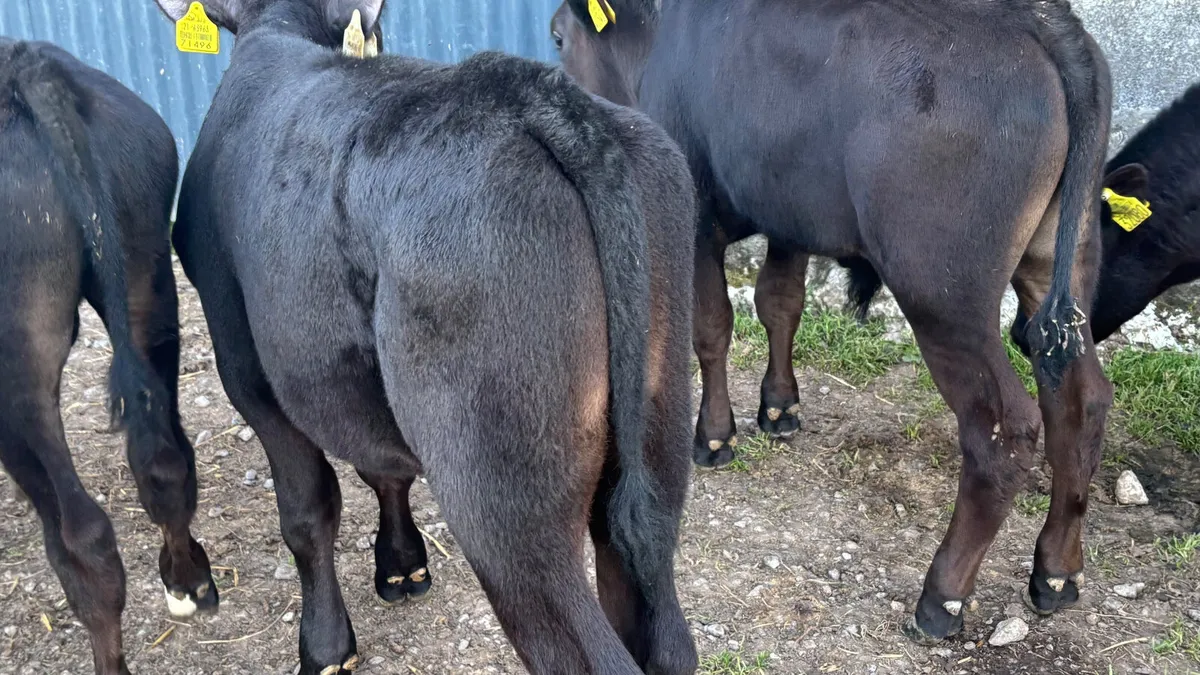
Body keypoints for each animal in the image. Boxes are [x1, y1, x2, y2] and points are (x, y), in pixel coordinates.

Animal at [0, 39, 217, 675]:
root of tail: (27, 68)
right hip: (147, 272)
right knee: (165, 462)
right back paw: (188, 580)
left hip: (16, 358)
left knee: (83, 540)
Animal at [148, 0, 698, 673]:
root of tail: (533, 95)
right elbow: (385, 470)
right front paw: (403, 567)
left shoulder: (246, 367)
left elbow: (307, 511)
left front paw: (326, 646)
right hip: (655, 443)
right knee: (663, 628)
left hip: (503, 502)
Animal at [552, 0, 1114, 644]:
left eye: (557, 37)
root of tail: (1043, 22)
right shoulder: (789, 213)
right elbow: (779, 304)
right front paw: (779, 409)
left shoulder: (697, 211)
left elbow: (712, 327)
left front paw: (715, 435)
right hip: (1061, 260)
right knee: (1081, 399)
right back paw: (1056, 571)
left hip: (943, 291)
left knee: (1002, 430)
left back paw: (942, 597)